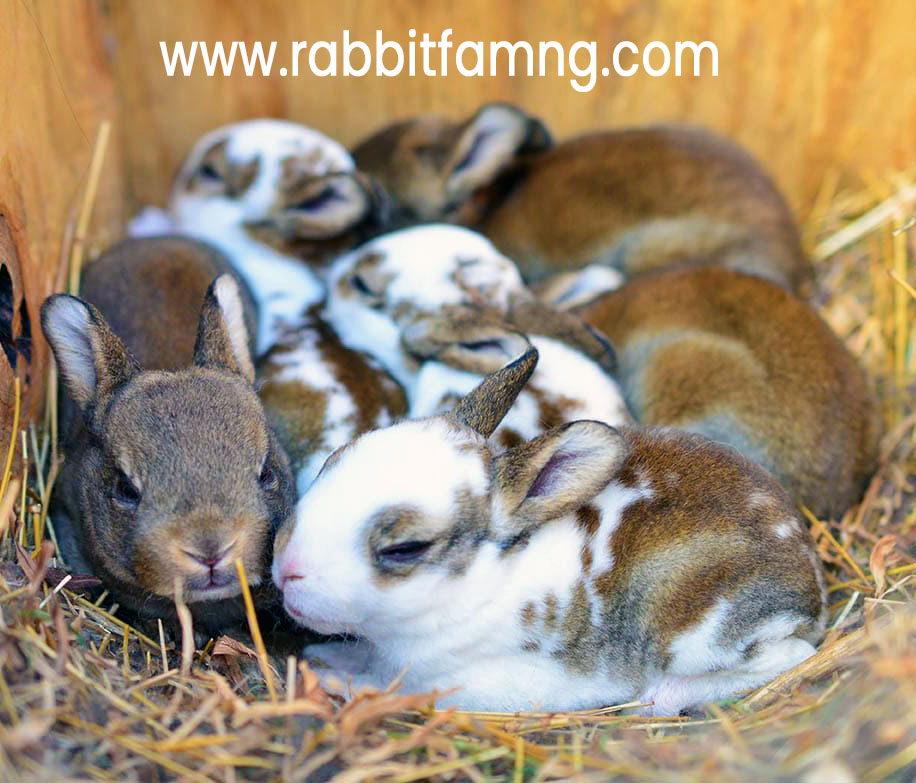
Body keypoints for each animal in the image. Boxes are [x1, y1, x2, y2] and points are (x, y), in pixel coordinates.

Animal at [272, 348, 827, 715]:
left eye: (406, 548)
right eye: (333, 459)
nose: (286, 569)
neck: (481, 583)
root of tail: (812, 583)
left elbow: (393, 689)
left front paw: (333, 677)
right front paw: (329, 657)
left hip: (701, 633)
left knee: (791, 657)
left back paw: (658, 698)